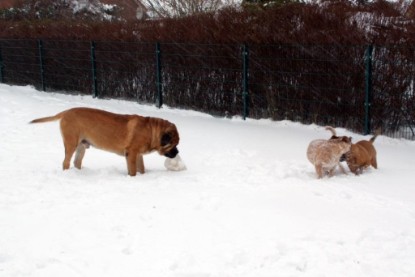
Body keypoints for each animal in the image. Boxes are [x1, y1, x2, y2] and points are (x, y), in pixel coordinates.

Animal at [30, 106, 180, 176]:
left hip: (81, 146)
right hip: (71, 143)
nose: (177, 153)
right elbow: (132, 171)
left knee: (77, 161)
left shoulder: (138, 155)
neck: (151, 131)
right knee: (66, 162)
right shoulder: (131, 153)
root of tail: (66, 112)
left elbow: (141, 169)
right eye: (174, 144)